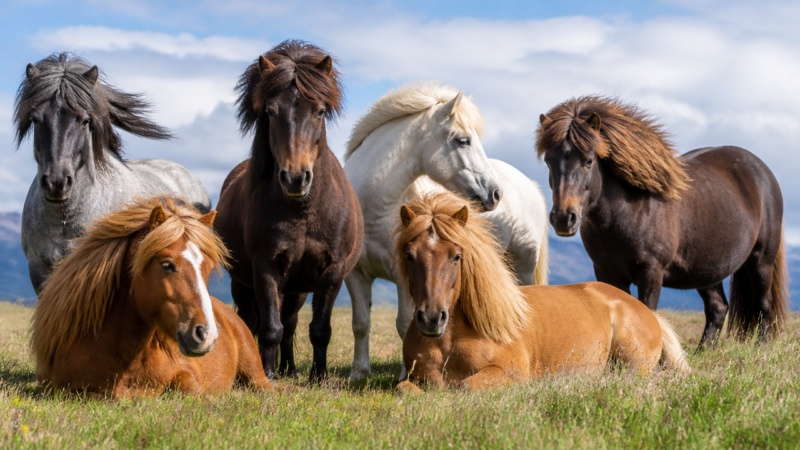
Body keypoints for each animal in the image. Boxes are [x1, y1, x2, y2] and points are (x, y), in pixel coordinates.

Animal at [31, 196, 271, 398]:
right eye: (167, 265)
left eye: (209, 268)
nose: (207, 334)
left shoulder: (188, 374)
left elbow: (185, 386)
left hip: (256, 375)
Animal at [215, 40, 363, 382]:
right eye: (270, 112)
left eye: (320, 111)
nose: (295, 177)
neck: (303, 212)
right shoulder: (264, 269)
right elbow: (269, 327)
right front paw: (268, 374)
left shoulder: (332, 273)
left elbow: (319, 329)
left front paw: (318, 376)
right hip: (243, 284)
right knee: (253, 321)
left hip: (296, 289)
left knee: (291, 323)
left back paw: (291, 370)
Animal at [343, 82, 549, 381]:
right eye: (463, 140)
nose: (495, 193)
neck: (374, 209)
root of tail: (529, 183)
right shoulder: (356, 274)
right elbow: (360, 323)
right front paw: (358, 373)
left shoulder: (402, 276)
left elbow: (404, 322)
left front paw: (407, 374)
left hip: (524, 267)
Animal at [393, 193, 689, 393]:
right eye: (409, 255)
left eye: (456, 257)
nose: (432, 319)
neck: (450, 341)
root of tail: (648, 313)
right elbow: (403, 389)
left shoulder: (508, 372)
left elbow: (464, 386)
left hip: (633, 362)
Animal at [537, 96, 788, 348]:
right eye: (548, 162)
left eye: (589, 161)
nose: (563, 218)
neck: (629, 210)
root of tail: (761, 171)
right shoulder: (606, 273)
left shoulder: (651, 273)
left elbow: (647, 314)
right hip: (708, 268)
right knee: (717, 307)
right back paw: (704, 351)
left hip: (761, 260)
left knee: (762, 304)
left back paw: (762, 349)